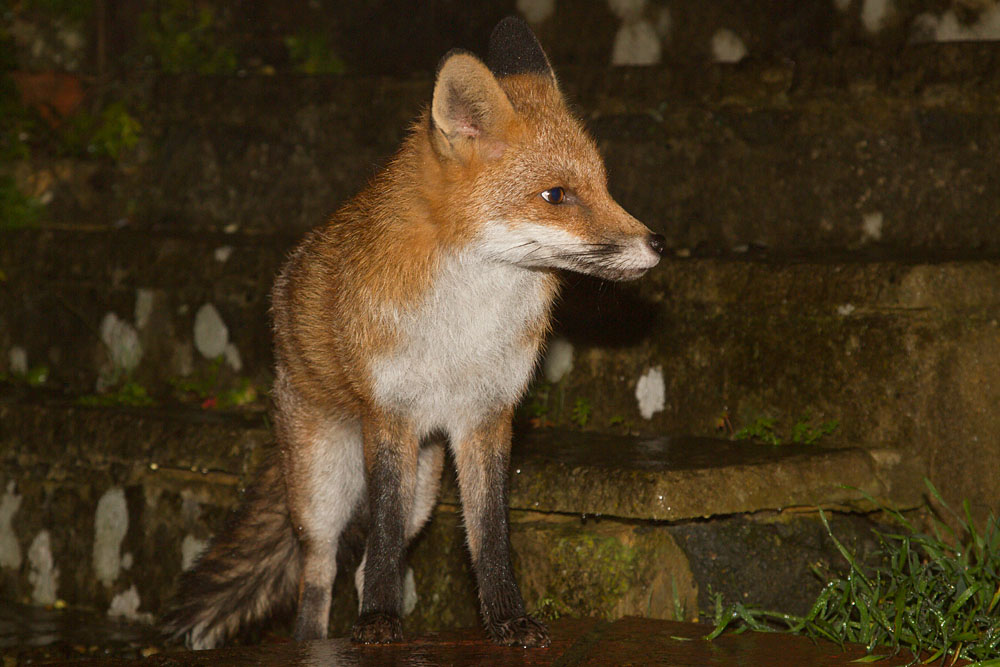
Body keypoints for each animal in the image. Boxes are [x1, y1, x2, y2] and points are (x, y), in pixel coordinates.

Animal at [162, 16, 663, 650]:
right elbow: (380, 539)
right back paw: (313, 642)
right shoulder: (390, 416)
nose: (658, 244)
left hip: (425, 484)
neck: (465, 326)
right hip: (324, 485)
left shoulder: (487, 418)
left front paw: (507, 620)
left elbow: (489, 537)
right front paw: (378, 625)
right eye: (557, 196)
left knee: (364, 563)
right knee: (318, 570)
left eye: (603, 186)